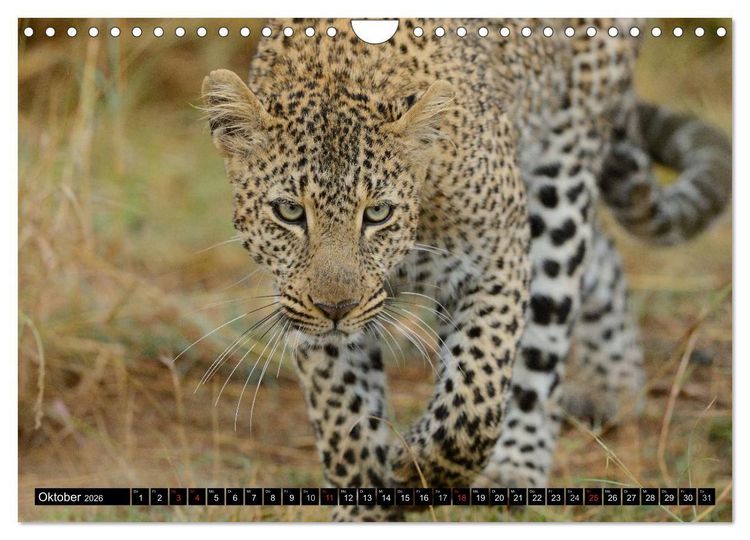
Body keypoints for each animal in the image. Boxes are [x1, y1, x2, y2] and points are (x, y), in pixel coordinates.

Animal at [201, 18, 731, 521]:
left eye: (377, 213)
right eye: (290, 212)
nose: (336, 307)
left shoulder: (499, 254)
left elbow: (477, 390)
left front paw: (415, 467)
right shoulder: (304, 306)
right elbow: (344, 416)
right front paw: (365, 507)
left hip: (560, 173)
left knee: (546, 333)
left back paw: (519, 463)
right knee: (601, 251)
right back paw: (615, 385)